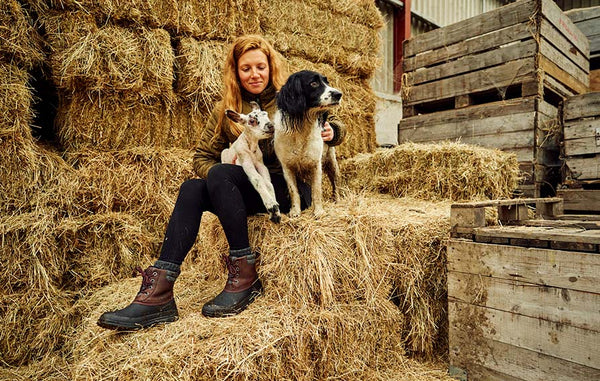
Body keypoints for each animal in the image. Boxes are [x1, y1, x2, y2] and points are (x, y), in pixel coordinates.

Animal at [274, 68, 340, 217]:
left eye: (327, 82)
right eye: (313, 83)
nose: (339, 94)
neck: (302, 128)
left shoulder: (315, 164)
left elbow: (316, 191)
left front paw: (318, 211)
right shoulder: (287, 167)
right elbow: (293, 191)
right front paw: (295, 211)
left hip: (332, 162)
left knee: (335, 183)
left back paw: (338, 200)